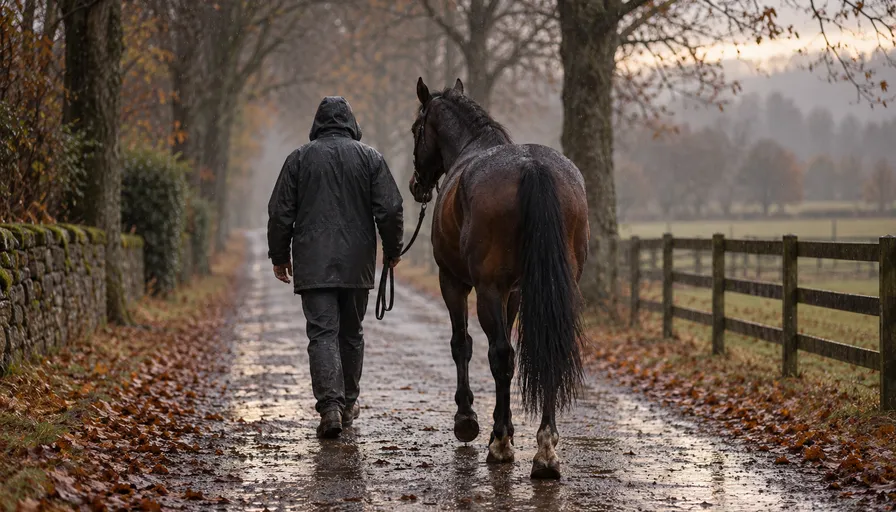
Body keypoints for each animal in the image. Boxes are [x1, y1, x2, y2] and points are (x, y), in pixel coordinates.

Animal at [408, 77, 589, 479]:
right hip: (555, 287)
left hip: (486, 290)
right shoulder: (515, 292)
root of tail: (533, 167)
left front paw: (468, 421)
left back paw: (503, 444)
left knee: (501, 355)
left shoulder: (455, 282)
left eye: (416, 129)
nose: (416, 185)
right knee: (548, 348)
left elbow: (463, 345)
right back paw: (545, 450)